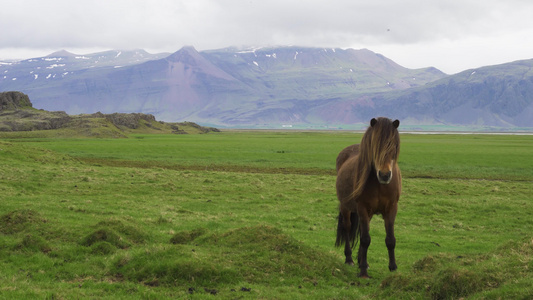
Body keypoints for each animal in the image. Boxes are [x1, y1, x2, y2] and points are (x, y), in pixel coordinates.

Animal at [334, 116, 402, 278]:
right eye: (374, 147)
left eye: (394, 147)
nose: (384, 175)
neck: (379, 184)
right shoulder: (363, 208)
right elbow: (365, 239)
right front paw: (363, 271)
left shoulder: (391, 209)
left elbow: (390, 239)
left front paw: (393, 267)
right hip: (346, 207)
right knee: (348, 227)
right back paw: (350, 259)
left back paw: (360, 259)